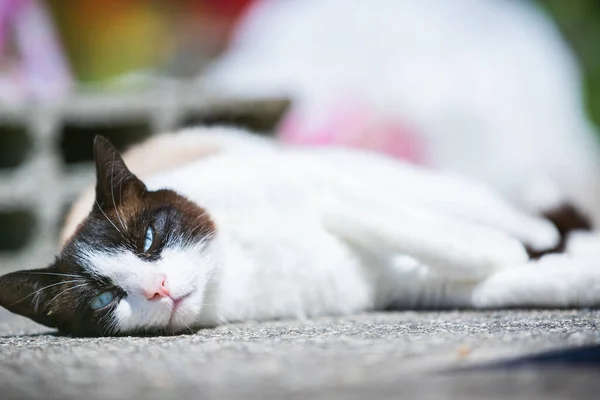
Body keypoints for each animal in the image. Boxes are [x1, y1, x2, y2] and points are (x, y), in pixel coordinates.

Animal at [1, 127, 600, 334]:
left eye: (148, 241)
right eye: (105, 299)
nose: (159, 288)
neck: (235, 272)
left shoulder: (323, 190)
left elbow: (408, 228)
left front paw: (506, 252)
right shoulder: (396, 285)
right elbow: (501, 286)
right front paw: (569, 277)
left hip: (409, 182)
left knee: (498, 214)